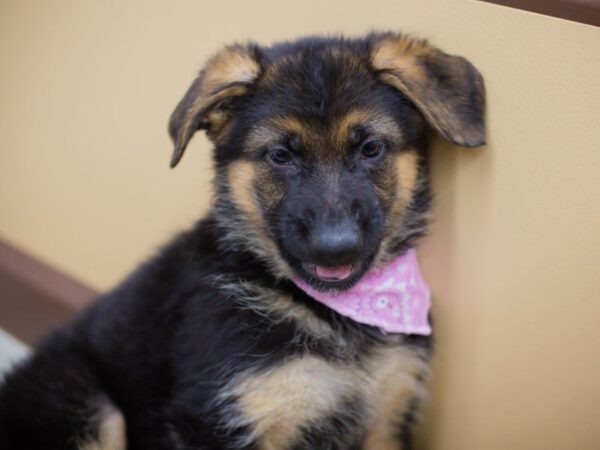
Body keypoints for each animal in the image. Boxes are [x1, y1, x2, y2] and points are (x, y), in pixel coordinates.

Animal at [0, 32, 482, 450]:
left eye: (371, 149)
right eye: (280, 155)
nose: (335, 247)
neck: (333, 315)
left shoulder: (388, 415)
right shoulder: (214, 418)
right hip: (86, 404)